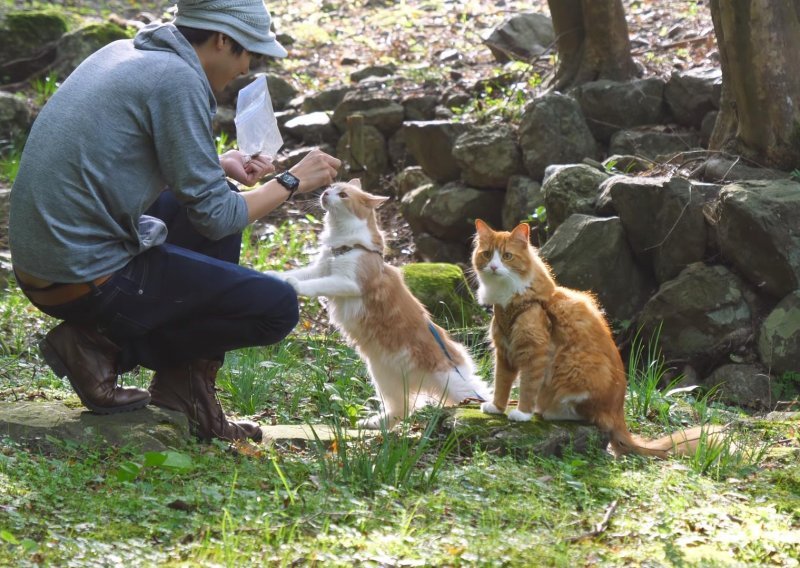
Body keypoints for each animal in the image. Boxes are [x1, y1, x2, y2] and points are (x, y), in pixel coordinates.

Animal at [276, 180, 490, 428]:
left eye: (343, 194)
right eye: (331, 187)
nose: (326, 193)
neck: (343, 244)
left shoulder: (347, 282)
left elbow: (314, 285)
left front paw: (294, 286)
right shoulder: (320, 269)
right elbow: (297, 273)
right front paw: (273, 275)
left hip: (447, 381)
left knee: (470, 396)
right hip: (382, 377)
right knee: (402, 409)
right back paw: (374, 424)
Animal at [472, 217, 720, 458]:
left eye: (507, 256)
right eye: (487, 254)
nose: (493, 266)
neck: (511, 301)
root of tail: (619, 414)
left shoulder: (535, 352)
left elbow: (527, 386)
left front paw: (522, 413)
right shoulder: (504, 352)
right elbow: (501, 383)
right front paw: (496, 407)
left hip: (577, 369)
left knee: (592, 419)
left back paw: (547, 412)